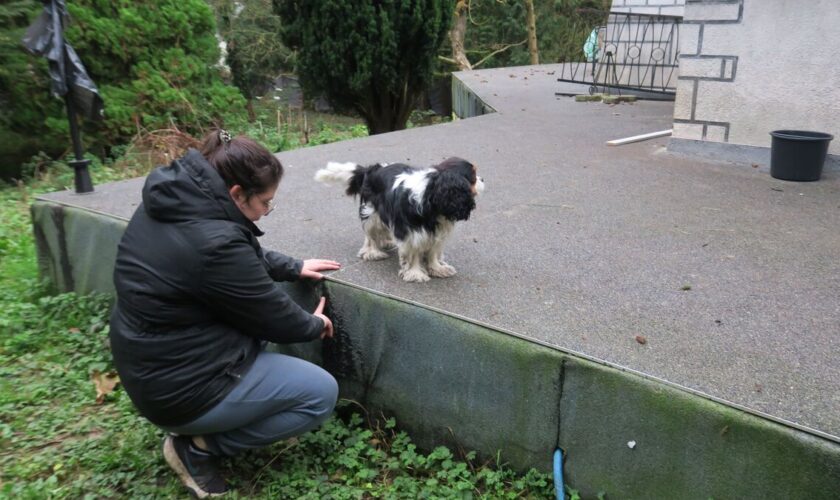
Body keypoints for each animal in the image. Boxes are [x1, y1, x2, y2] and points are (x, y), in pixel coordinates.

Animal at [316, 158, 486, 282]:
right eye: (473, 176)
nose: (483, 178)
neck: (431, 195)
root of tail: (372, 168)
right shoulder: (411, 233)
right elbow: (413, 254)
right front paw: (415, 273)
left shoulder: (437, 233)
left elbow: (433, 252)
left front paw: (437, 268)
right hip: (371, 214)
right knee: (371, 235)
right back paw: (372, 252)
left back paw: (387, 241)